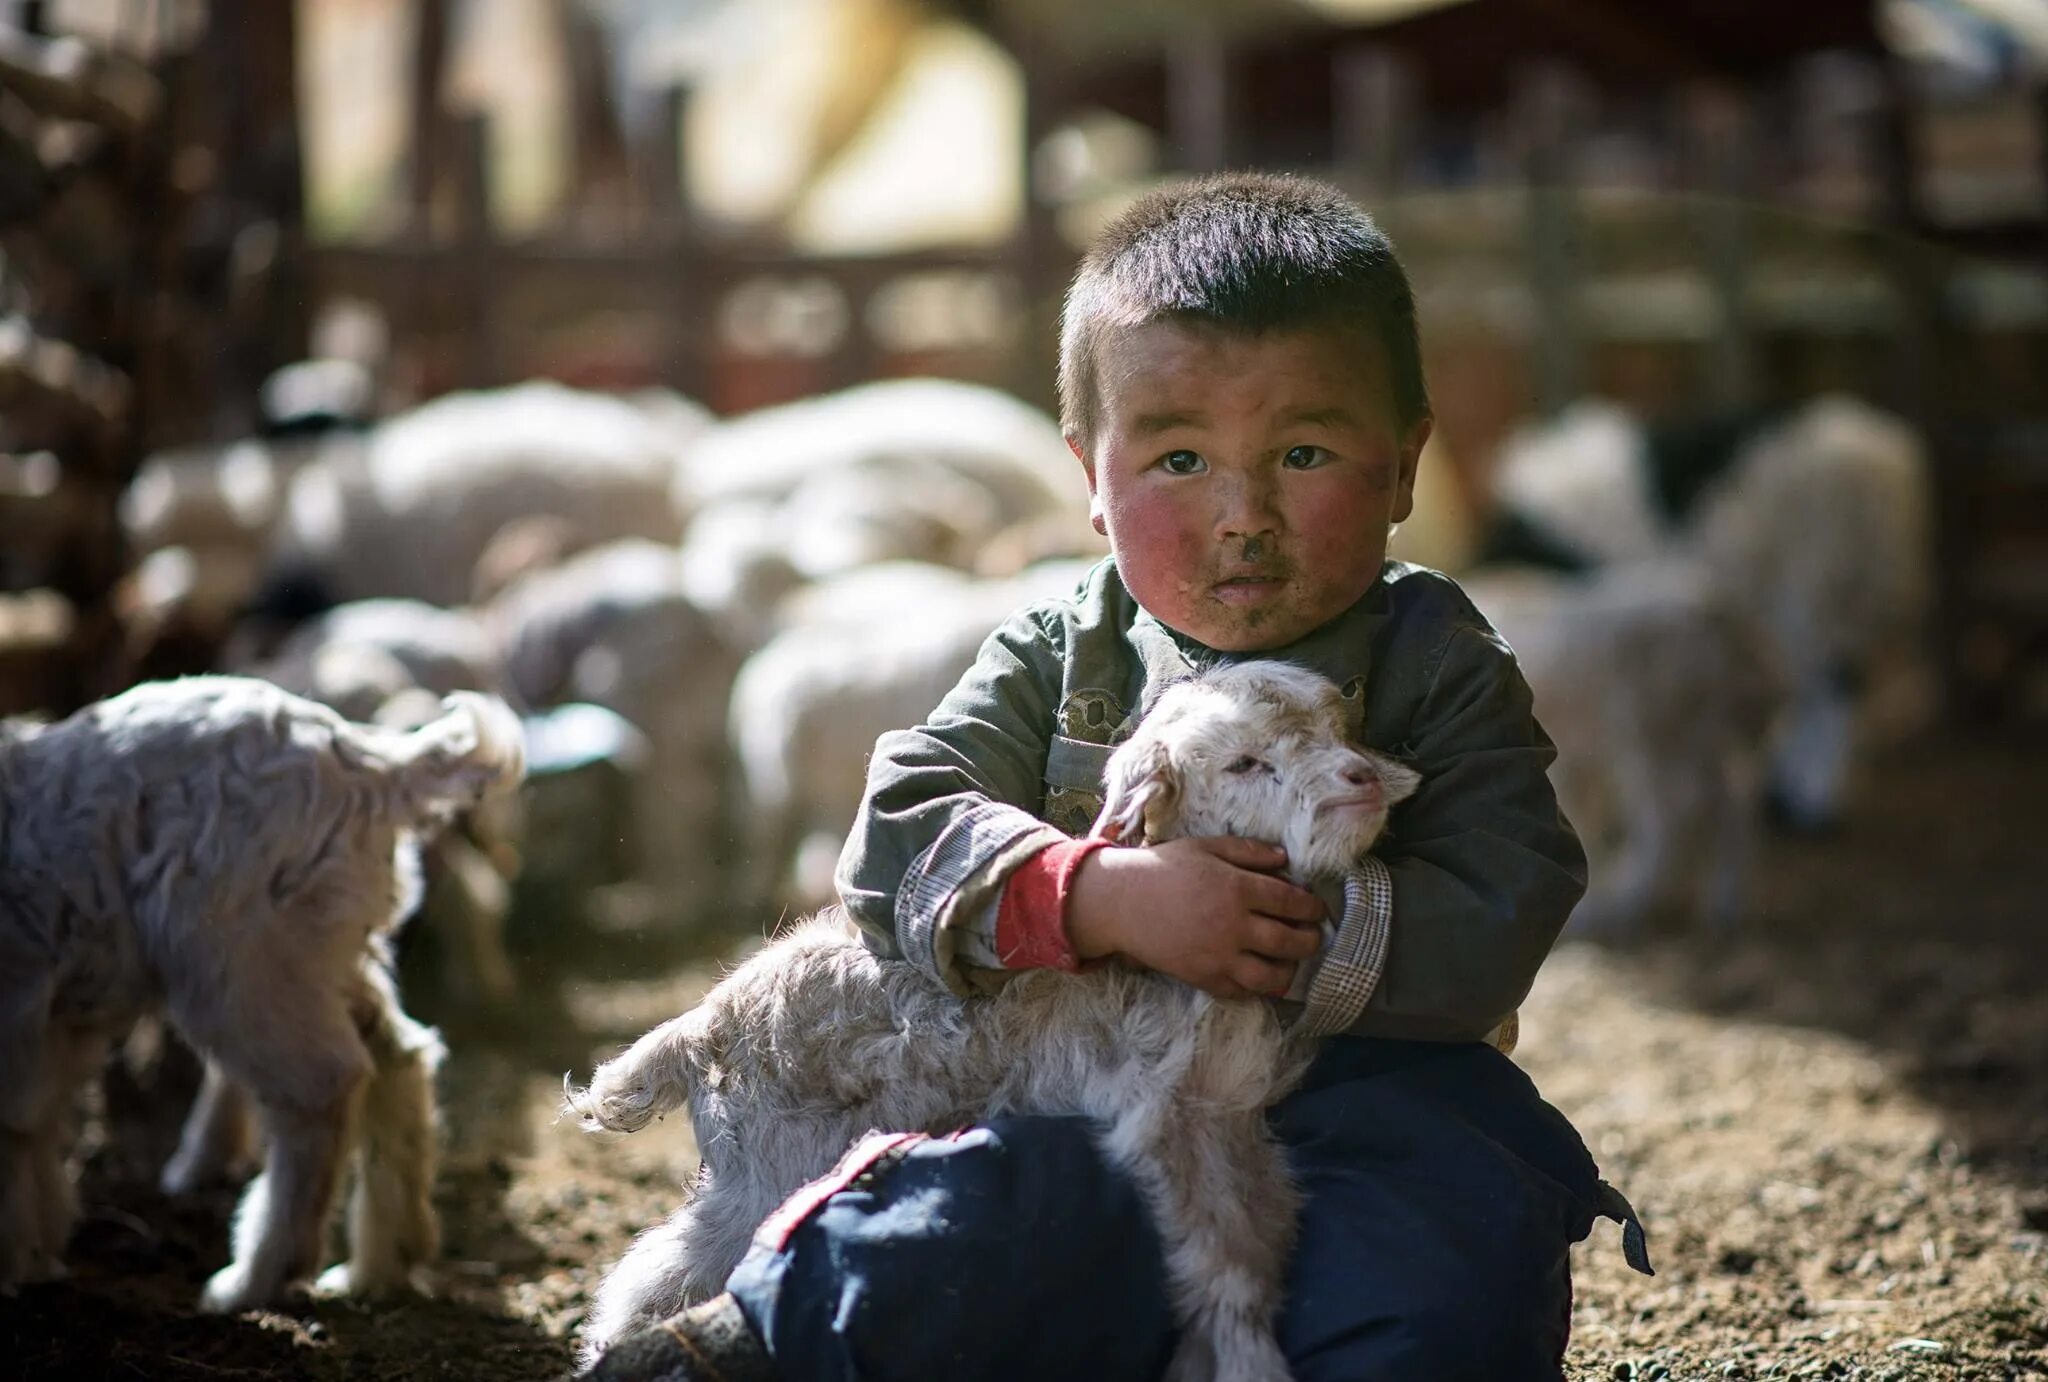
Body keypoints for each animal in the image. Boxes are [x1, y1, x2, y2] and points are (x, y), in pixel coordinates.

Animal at [2, 675, 528, 1310]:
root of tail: (368, 765)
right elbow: (31, 1128)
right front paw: (33, 1255)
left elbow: (17, 1129)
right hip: (322, 942)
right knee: (396, 1060)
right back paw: (380, 1266)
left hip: (238, 954)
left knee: (320, 1089)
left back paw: (254, 1278)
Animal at [569, 663, 1417, 1375]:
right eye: (1243, 764)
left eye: (1336, 729)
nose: (1361, 780)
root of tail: (699, 1027)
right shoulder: (1166, 1114)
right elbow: (1220, 1256)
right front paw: (1245, 1361)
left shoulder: (1232, 1113)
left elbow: (1263, 1227)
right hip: (770, 1162)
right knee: (666, 1268)